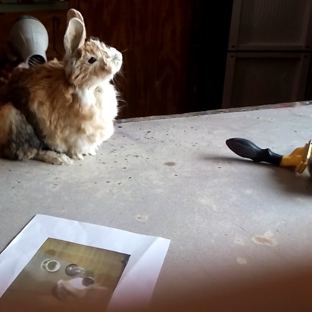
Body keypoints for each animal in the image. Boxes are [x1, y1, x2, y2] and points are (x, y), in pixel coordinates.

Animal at [0, 7, 123, 165]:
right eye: (92, 59)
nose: (119, 57)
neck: (88, 88)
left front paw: (90, 152)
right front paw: (76, 156)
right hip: (15, 120)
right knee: (28, 152)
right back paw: (60, 158)